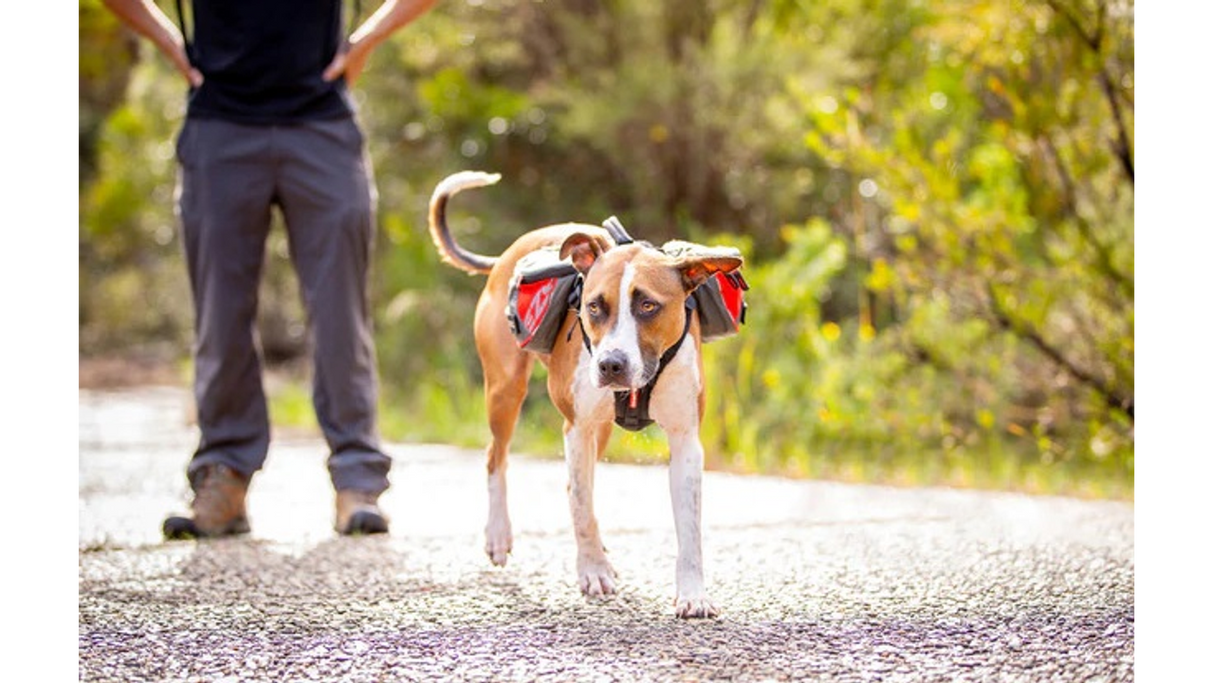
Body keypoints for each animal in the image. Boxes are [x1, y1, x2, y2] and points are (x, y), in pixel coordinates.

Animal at [432, 171, 742, 621]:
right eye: (594, 307)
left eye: (648, 306)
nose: (611, 364)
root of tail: (509, 253)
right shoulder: (575, 428)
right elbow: (580, 507)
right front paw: (592, 569)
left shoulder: (686, 442)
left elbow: (689, 527)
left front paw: (692, 592)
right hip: (506, 391)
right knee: (497, 458)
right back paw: (499, 534)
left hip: (600, 430)